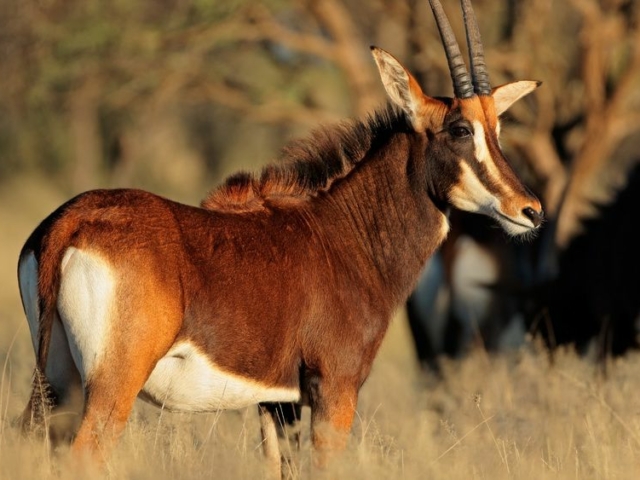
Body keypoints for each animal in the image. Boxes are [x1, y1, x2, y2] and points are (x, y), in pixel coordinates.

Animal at [17, 0, 542, 472]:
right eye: (459, 129)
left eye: (497, 127)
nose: (530, 211)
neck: (346, 234)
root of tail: (68, 222)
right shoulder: (335, 390)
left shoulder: (277, 402)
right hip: (111, 388)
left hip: (61, 381)